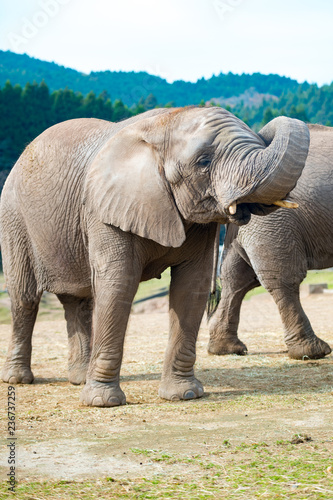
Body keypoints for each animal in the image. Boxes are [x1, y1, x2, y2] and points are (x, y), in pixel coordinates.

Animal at [1, 106, 310, 406]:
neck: (163, 123)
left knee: (77, 300)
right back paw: (18, 379)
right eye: (204, 162)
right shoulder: (105, 209)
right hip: (14, 219)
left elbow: (192, 286)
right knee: (25, 298)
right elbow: (118, 284)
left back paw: (78, 378)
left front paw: (184, 395)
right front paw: (103, 402)